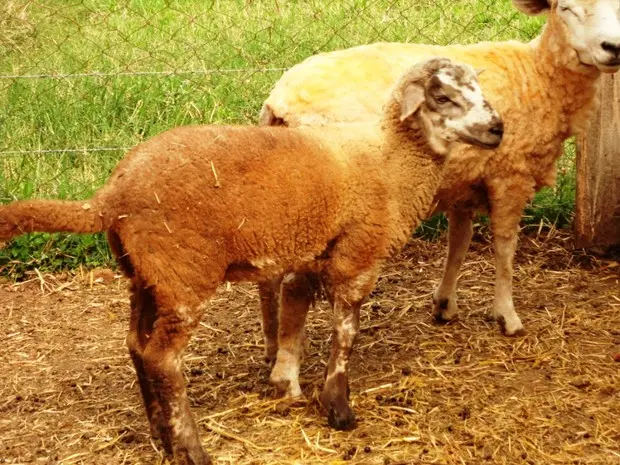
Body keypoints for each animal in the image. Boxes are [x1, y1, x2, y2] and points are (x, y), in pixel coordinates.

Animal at [0, 58, 502, 464]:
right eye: (443, 96)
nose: (497, 128)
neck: (392, 158)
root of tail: (111, 195)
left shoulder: (311, 252)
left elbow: (296, 312)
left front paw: (290, 384)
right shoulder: (358, 255)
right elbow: (346, 332)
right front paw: (339, 408)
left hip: (146, 274)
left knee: (136, 346)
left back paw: (162, 438)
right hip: (183, 274)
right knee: (163, 358)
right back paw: (192, 449)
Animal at [258, 0, 620, 336]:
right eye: (566, 8)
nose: (612, 48)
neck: (540, 74)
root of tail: (279, 100)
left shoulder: (464, 181)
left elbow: (459, 242)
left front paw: (445, 304)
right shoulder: (509, 175)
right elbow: (505, 247)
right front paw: (507, 315)